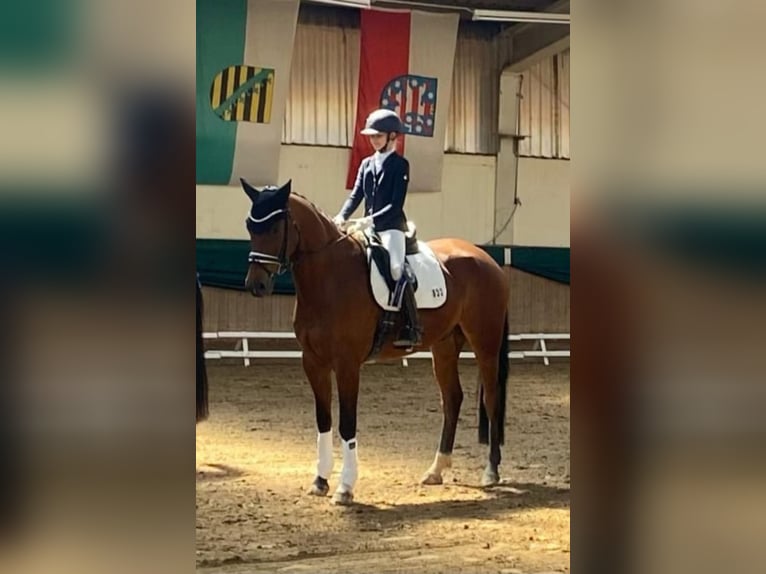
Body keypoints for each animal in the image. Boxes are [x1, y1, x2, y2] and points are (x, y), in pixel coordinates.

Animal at [243, 179, 512, 504]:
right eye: (250, 226)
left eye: (273, 228)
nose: (255, 285)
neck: (329, 277)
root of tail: (489, 261)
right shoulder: (313, 362)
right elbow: (323, 419)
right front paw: (320, 480)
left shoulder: (347, 364)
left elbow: (347, 423)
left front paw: (345, 488)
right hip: (445, 346)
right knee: (452, 399)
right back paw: (436, 470)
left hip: (485, 343)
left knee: (492, 399)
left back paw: (491, 472)